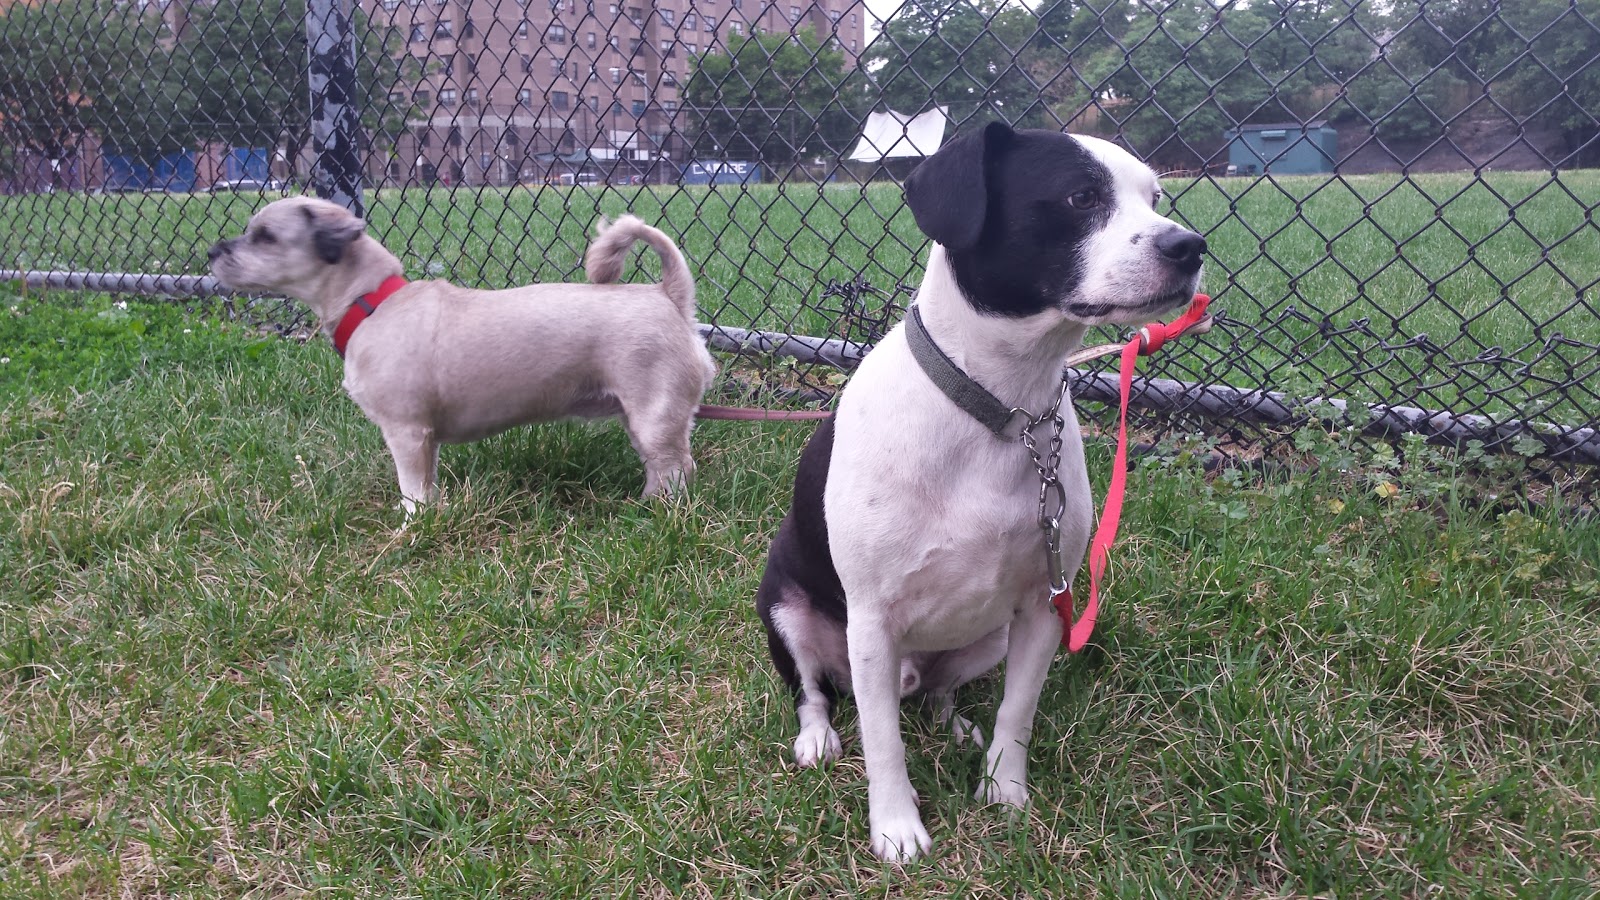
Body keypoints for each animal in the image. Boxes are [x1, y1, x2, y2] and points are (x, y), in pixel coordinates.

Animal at [208, 195, 720, 512]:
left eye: (265, 237)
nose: (213, 250)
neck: (372, 301)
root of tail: (668, 296)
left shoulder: (406, 433)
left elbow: (412, 492)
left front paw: (412, 526)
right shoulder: (425, 439)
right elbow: (428, 484)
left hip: (654, 417)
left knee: (677, 469)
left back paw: (660, 512)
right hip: (639, 418)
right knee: (662, 467)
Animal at [755, 122, 1203, 858]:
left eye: (1155, 197)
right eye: (1080, 197)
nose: (1189, 246)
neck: (1001, 407)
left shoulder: (1045, 603)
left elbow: (1017, 711)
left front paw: (1004, 790)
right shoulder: (871, 621)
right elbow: (882, 742)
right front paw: (896, 827)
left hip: (988, 635)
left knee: (937, 693)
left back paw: (954, 723)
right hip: (787, 612)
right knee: (816, 692)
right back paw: (818, 736)